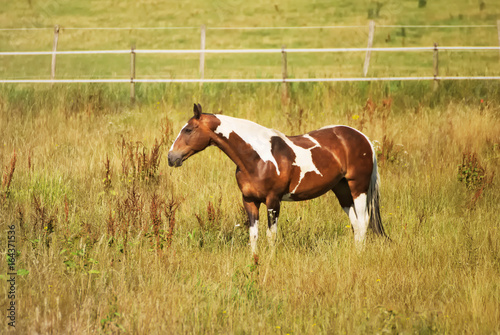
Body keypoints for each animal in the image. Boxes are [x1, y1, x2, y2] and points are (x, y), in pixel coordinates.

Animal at [168, 103, 386, 253]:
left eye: (188, 130)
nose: (171, 157)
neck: (257, 158)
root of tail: (363, 138)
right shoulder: (249, 201)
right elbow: (253, 235)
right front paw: (254, 260)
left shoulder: (273, 201)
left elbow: (271, 235)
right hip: (341, 189)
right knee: (356, 223)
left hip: (358, 187)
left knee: (363, 221)